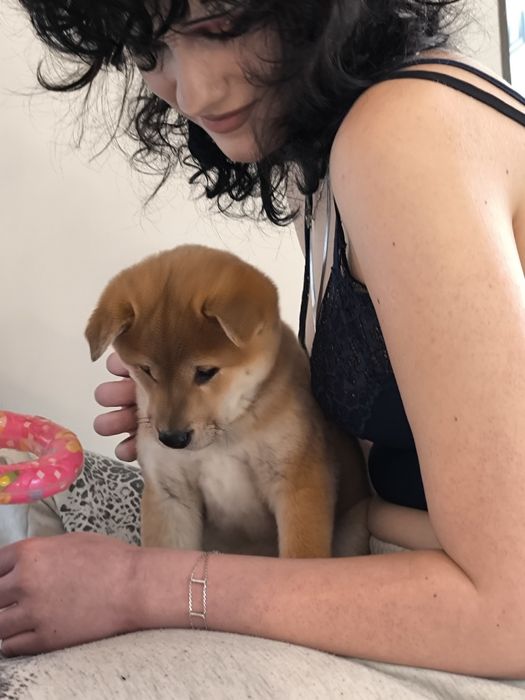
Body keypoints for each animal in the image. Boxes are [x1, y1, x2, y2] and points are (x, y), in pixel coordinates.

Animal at [86, 245, 369, 557]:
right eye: (146, 371)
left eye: (206, 372)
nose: (172, 439)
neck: (225, 439)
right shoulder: (170, 491)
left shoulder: (299, 483)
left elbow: (302, 554)